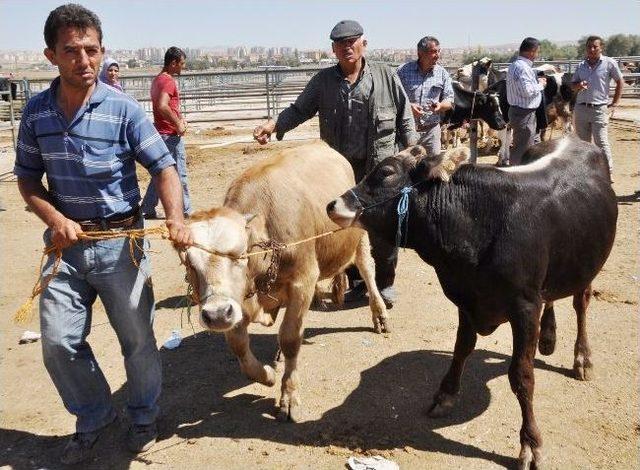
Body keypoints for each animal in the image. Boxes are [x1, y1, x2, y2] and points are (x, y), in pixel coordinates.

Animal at [182, 140, 388, 422]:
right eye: (189, 262)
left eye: (240, 254)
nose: (216, 315)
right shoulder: (238, 302)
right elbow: (238, 345)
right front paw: (267, 375)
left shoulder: (303, 282)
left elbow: (290, 337)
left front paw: (288, 396)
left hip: (359, 239)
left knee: (368, 271)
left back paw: (379, 314)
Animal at [328, 135, 616, 466]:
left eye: (386, 172)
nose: (333, 204)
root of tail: (570, 138)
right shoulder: (465, 299)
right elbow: (462, 348)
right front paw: (446, 394)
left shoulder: (525, 306)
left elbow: (522, 375)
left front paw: (530, 443)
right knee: (553, 297)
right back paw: (548, 337)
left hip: (587, 266)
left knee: (581, 304)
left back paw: (582, 358)